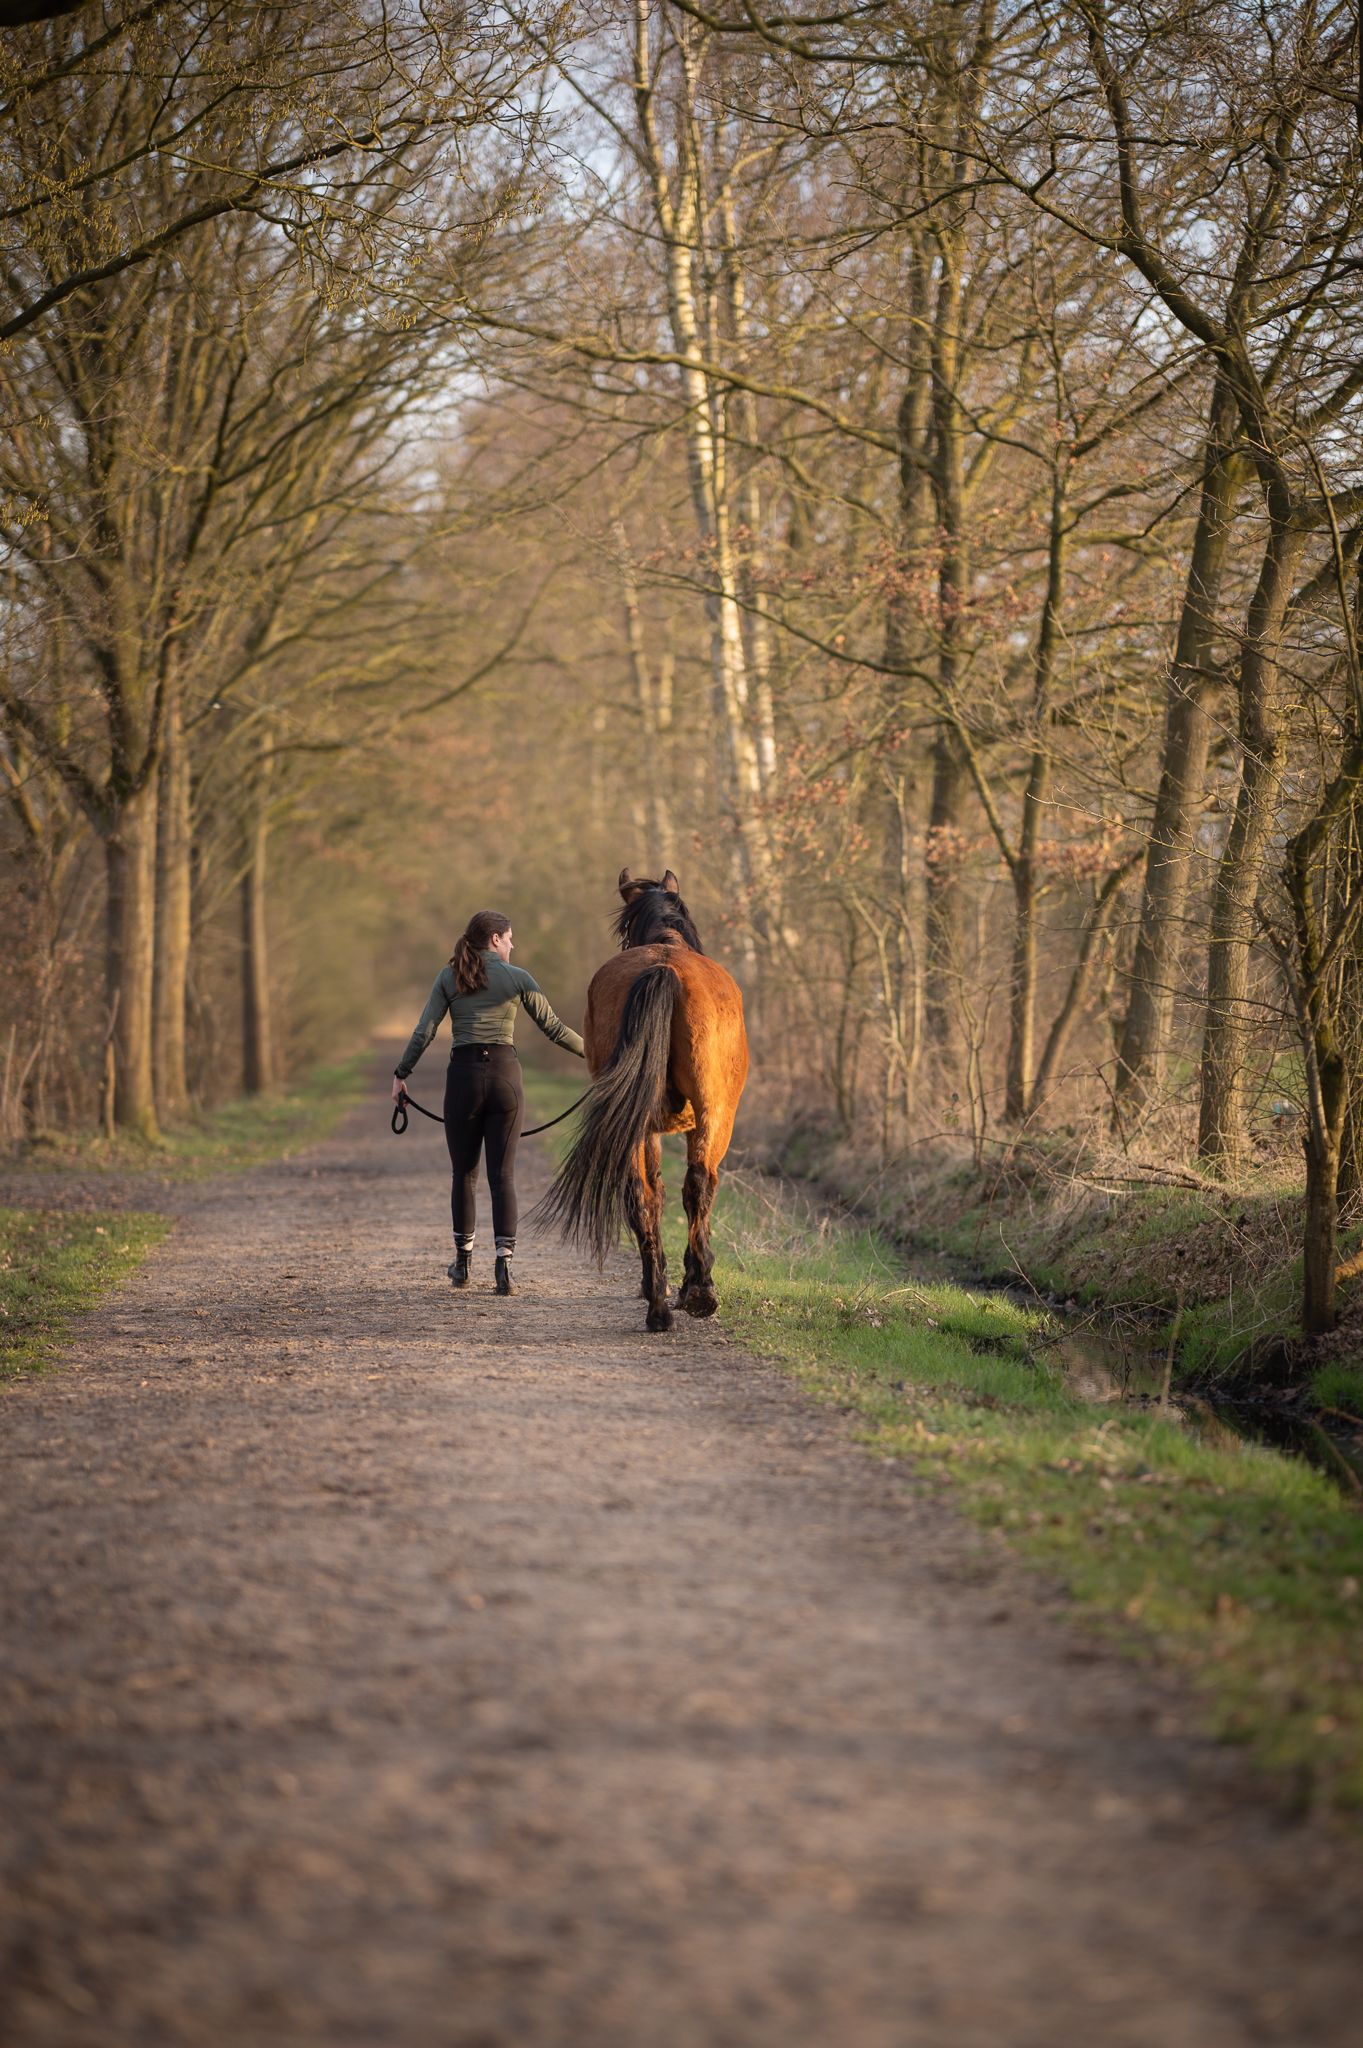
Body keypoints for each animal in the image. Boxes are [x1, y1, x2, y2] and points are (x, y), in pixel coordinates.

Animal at [536, 868, 749, 1332]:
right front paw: (690, 1284)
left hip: (638, 1123)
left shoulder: (648, 1127)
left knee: (638, 1194)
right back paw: (698, 1293)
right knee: (699, 1183)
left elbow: (655, 1194)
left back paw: (658, 1307)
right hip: (714, 1115)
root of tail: (664, 968)